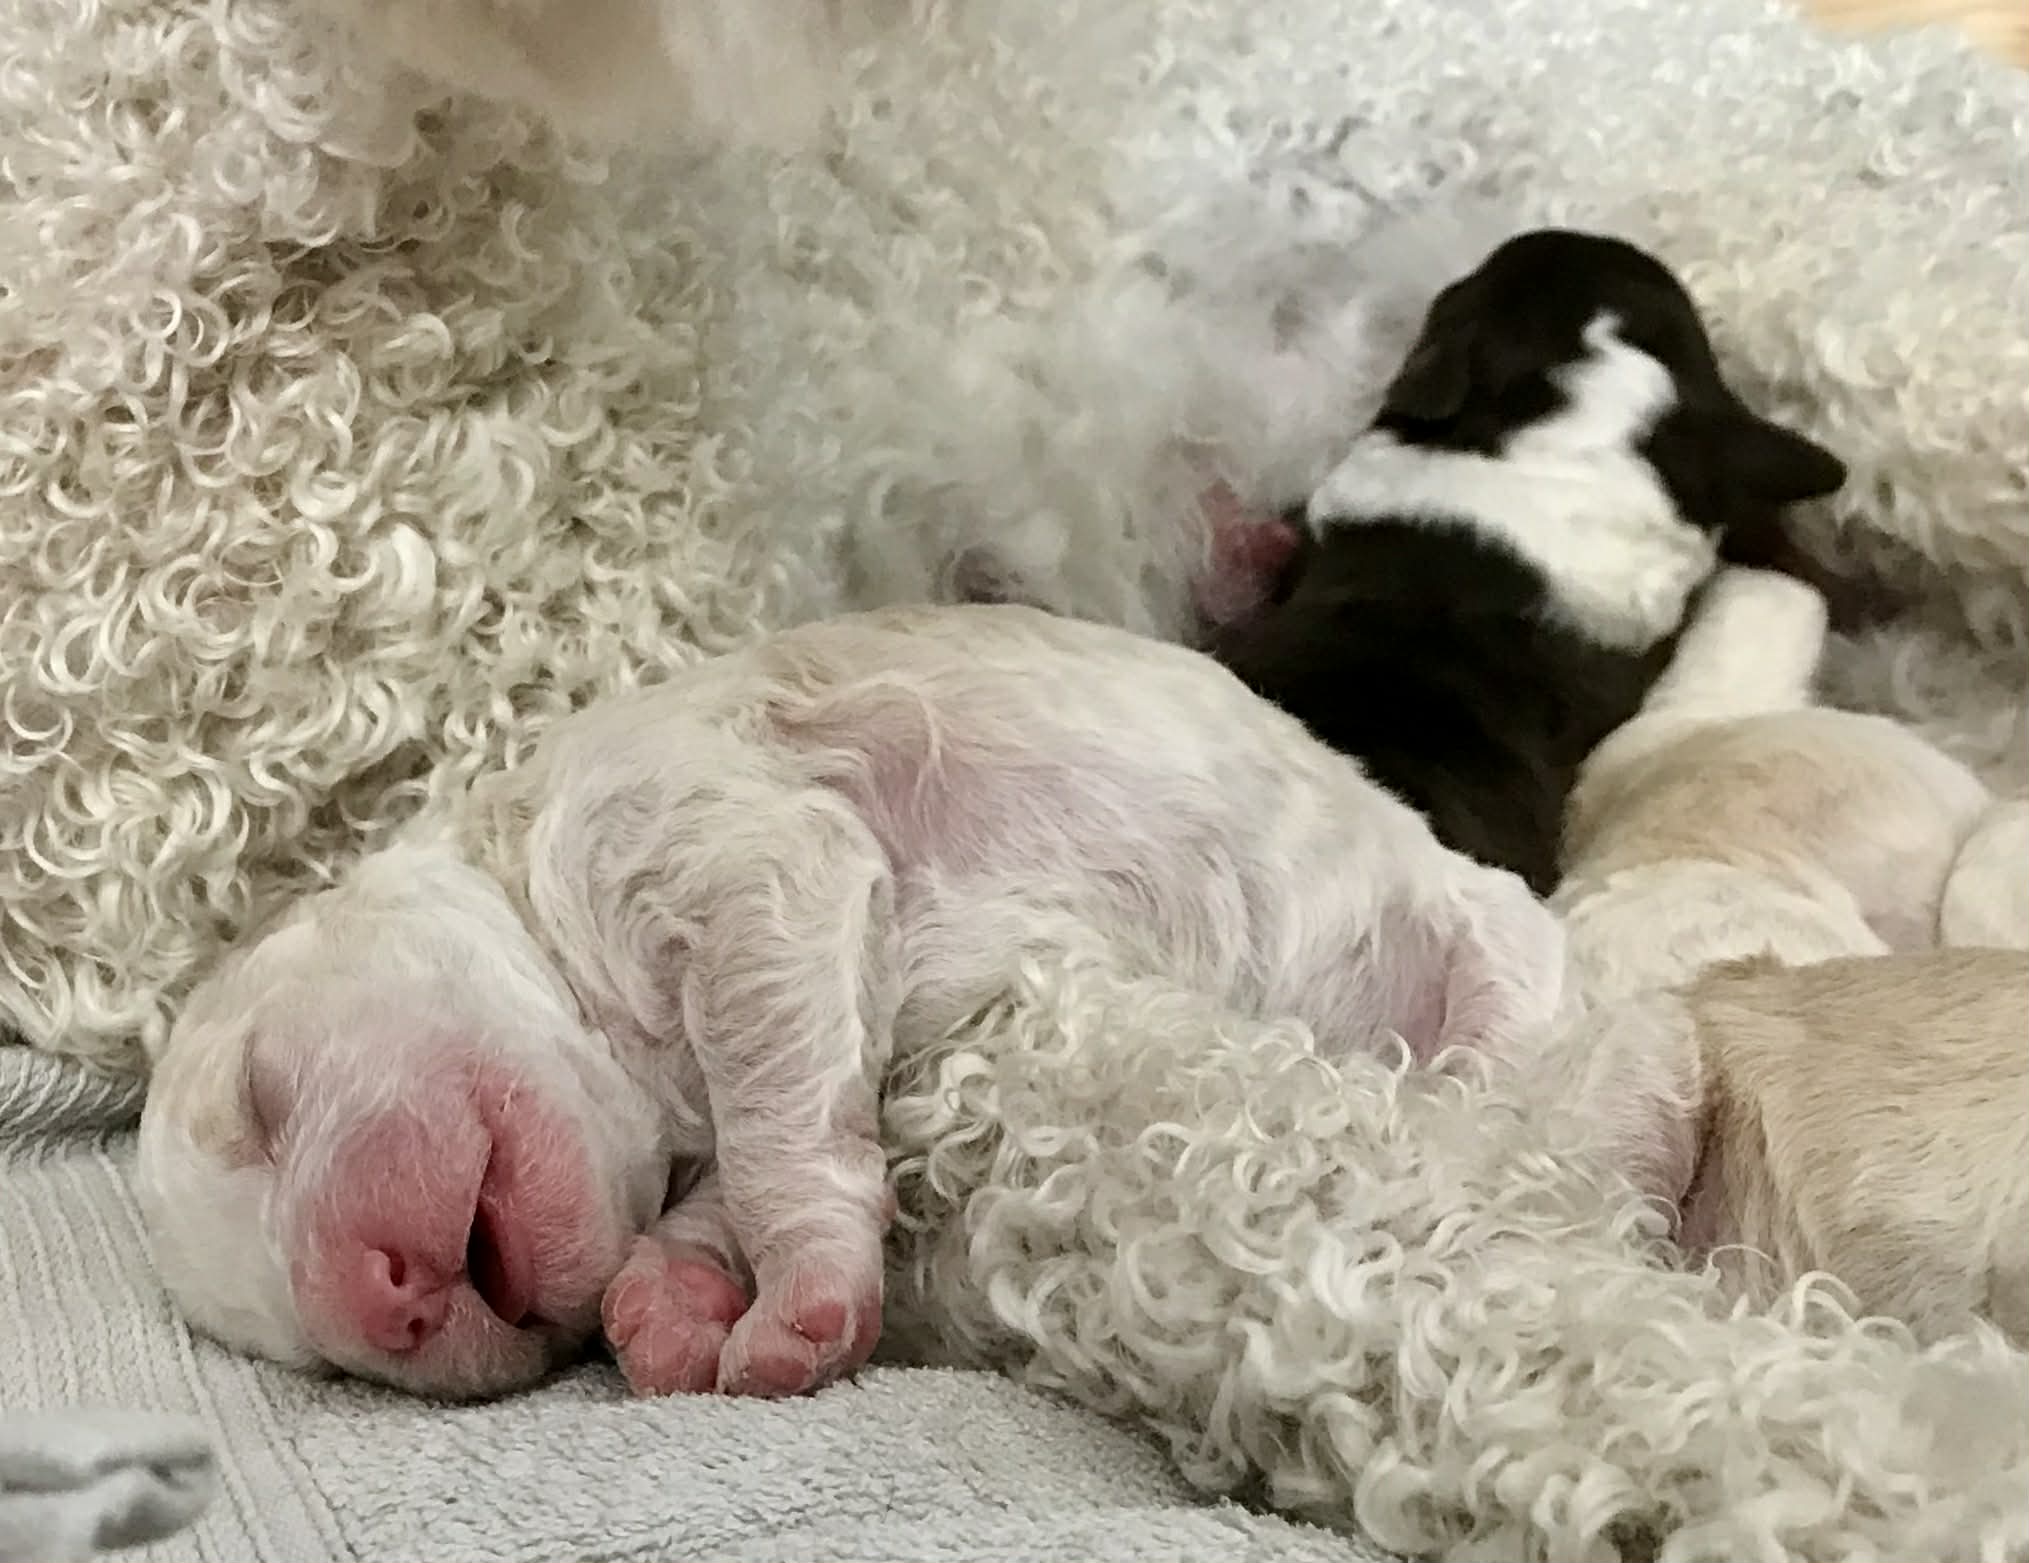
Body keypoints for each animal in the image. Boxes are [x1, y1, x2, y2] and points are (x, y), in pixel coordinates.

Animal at [135, 604, 1564, 1402]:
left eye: (258, 1099)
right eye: (326, 1362)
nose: (381, 1305)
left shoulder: (700, 834)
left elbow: (773, 1099)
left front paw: (795, 1298)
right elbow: (772, 1153)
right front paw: (677, 1304)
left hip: (1500, 960)